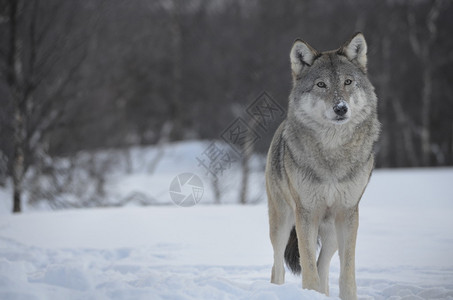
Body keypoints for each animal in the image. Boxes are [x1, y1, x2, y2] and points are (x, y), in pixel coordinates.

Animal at [266, 33, 380, 300]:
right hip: (282, 223)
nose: (341, 108)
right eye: (321, 85)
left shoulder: (348, 214)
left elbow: (346, 273)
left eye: (348, 82)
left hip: (331, 233)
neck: (332, 154)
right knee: (278, 268)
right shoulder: (306, 213)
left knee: (324, 266)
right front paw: (309, 292)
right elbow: (308, 269)